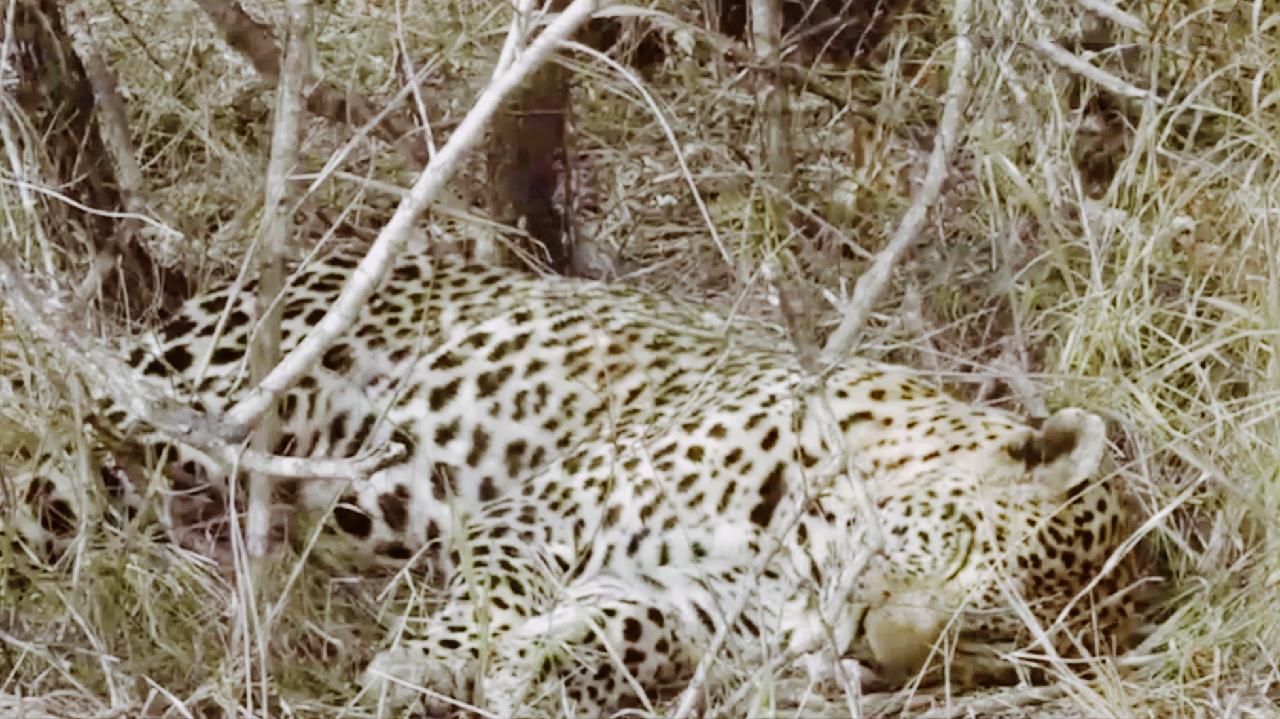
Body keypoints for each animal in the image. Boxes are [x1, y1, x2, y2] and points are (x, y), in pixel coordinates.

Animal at [2, 236, 1152, 711]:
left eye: (988, 650)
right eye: (956, 553)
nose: (873, 650)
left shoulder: (699, 606)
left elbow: (626, 631)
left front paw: (546, 670)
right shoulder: (538, 516)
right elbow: (487, 597)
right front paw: (425, 669)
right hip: (161, 415)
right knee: (48, 468)